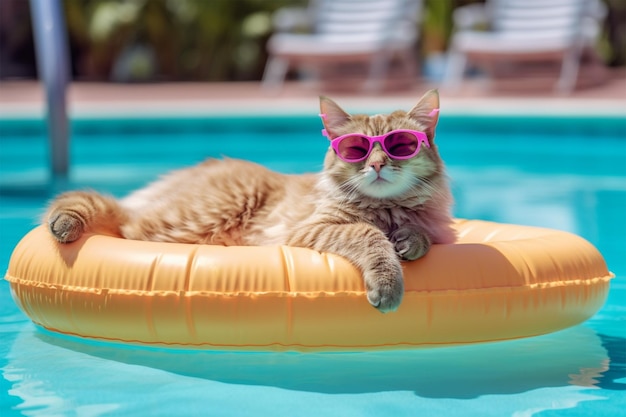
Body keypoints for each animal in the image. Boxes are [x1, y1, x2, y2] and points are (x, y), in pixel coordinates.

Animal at [44, 91, 454, 312]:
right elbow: (369, 236)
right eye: (357, 149)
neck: (386, 208)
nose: (377, 164)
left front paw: (410, 240)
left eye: (400, 146)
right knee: (122, 224)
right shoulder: (312, 229)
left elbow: (420, 235)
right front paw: (388, 280)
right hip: (199, 216)